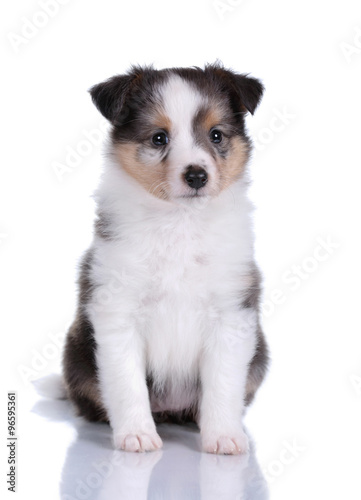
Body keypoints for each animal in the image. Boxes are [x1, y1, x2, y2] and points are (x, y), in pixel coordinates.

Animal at [63, 62, 268, 454]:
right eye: (159, 138)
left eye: (216, 135)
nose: (197, 175)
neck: (179, 223)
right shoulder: (117, 309)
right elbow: (126, 382)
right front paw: (137, 435)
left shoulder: (231, 312)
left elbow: (223, 384)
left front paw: (223, 437)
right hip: (77, 357)